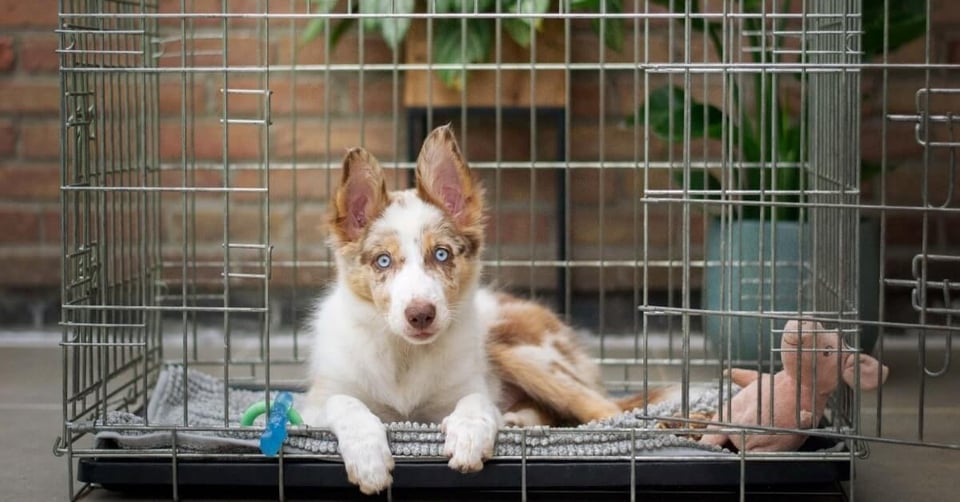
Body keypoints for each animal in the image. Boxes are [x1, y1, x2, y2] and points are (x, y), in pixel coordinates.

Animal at [304, 125, 656, 494]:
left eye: (441, 254)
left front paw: (468, 436)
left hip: (519, 351)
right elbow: (345, 403)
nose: (421, 314)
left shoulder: (468, 386)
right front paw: (368, 458)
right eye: (383, 261)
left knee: (606, 409)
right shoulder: (315, 403)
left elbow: (476, 401)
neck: (405, 356)